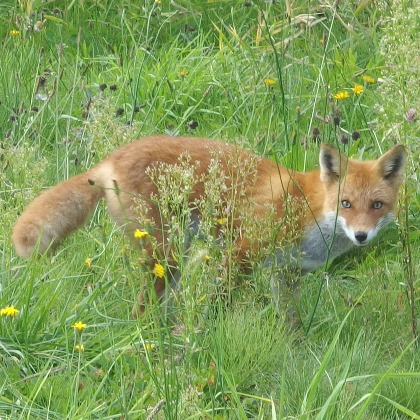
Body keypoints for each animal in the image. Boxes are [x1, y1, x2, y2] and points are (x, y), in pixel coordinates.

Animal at [13, 136, 406, 314]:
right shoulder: (241, 254)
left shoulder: (288, 273)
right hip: (166, 255)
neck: (309, 209)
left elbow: (291, 325)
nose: (360, 236)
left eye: (376, 205)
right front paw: (203, 336)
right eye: (345, 204)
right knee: (143, 307)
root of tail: (111, 158)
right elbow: (216, 306)